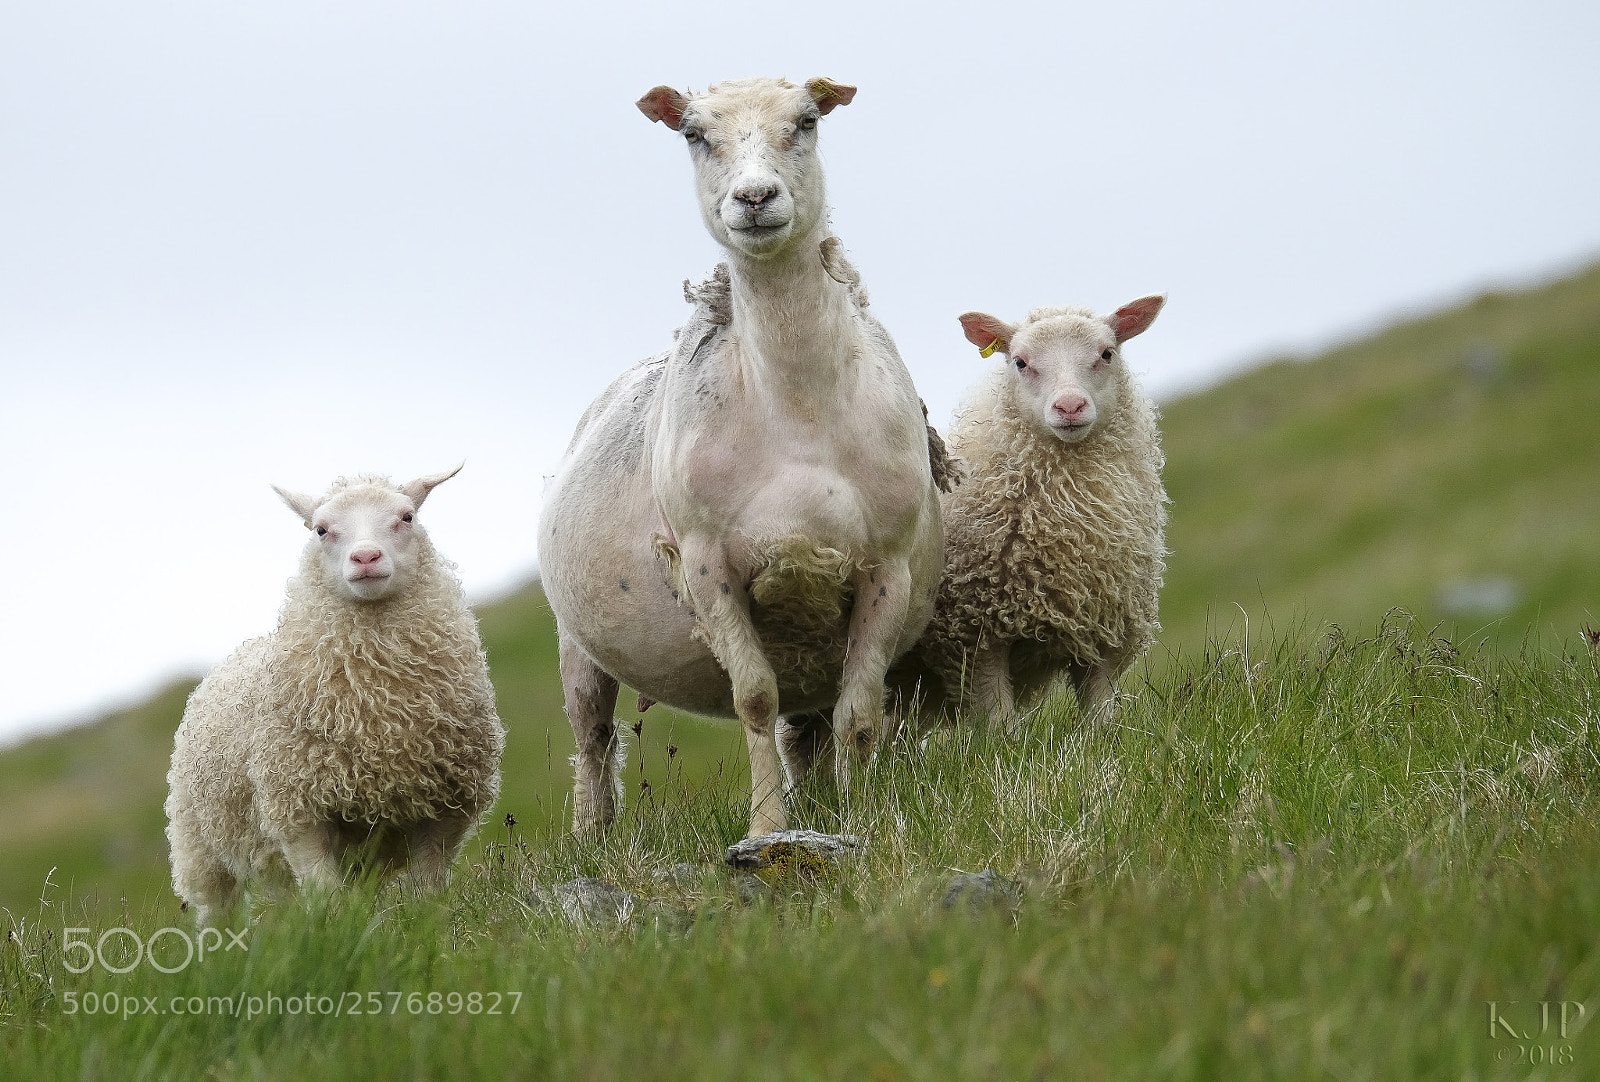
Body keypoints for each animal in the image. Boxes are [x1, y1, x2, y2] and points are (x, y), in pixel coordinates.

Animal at [165, 466, 504, 926]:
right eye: (321, 529)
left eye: (407, 517)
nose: (366, 558)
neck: (380, 711)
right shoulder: (299, 814)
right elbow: (327, 900)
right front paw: (335, 934)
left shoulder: (444, 810)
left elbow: (427, 893)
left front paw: (424, 931)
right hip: (200, 847)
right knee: (217, 909)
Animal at [539, 77, 944, 838]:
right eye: (694, 134)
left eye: (806, 122)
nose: (754, 198)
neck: (798, 407)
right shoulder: (707, 564)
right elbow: (754, 699)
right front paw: (766, 829)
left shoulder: (887, 569)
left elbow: (860, 716)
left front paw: (862, 820)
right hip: (578, 642)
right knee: (593, 741)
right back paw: (592, 839)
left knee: (808, 729)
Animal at [888, 296, 1169, 731]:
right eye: (1020, 362)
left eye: (1107, 353)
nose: (1070, 406)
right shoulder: (973, 632)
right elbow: (999, 724)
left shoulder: (1105, 629)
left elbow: (1100, 715)